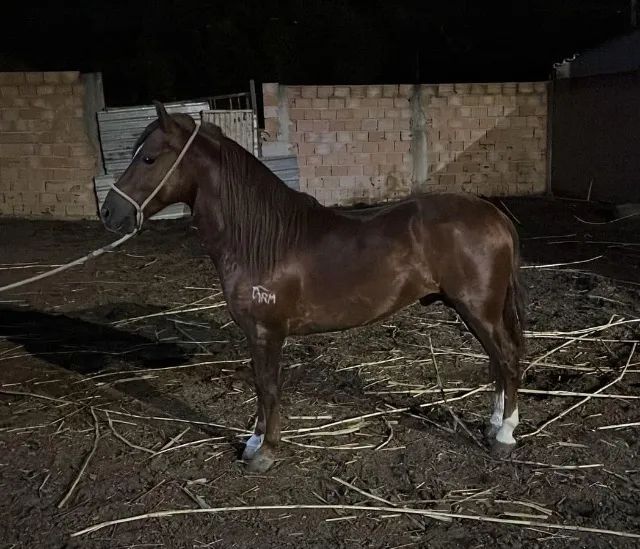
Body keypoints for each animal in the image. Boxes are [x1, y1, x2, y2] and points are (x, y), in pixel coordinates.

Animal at [101, 102, 525, 473]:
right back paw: (493, 423)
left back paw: (504, 435)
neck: (261, 240)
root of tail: (494, 214)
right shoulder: (257, 333)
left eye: (149, 158)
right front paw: (253, 442)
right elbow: (260, 385)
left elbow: (268, 387)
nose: (108, 212)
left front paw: (265, 452)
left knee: (506, 359)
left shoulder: (266, 331)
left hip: (478, 309)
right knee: (496, 362)